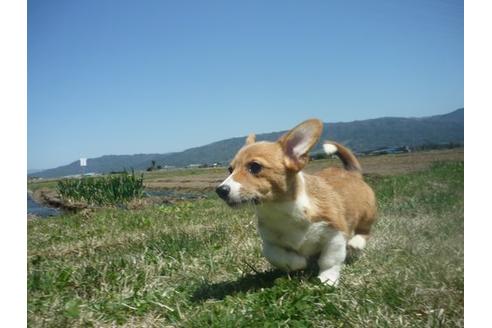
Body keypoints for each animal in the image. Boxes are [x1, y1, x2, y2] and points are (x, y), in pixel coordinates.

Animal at [215, 119, 376, 286]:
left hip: (367, 213)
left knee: (365, 231)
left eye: (255, 167)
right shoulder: (270, 242)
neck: (280, 209)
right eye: (230, 169)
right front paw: (300, 262)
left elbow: (329, 260)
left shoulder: (335, 233)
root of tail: (352, 173)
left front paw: (327, 279)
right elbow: (275, 255)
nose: (220, 190)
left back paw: (356, 242)